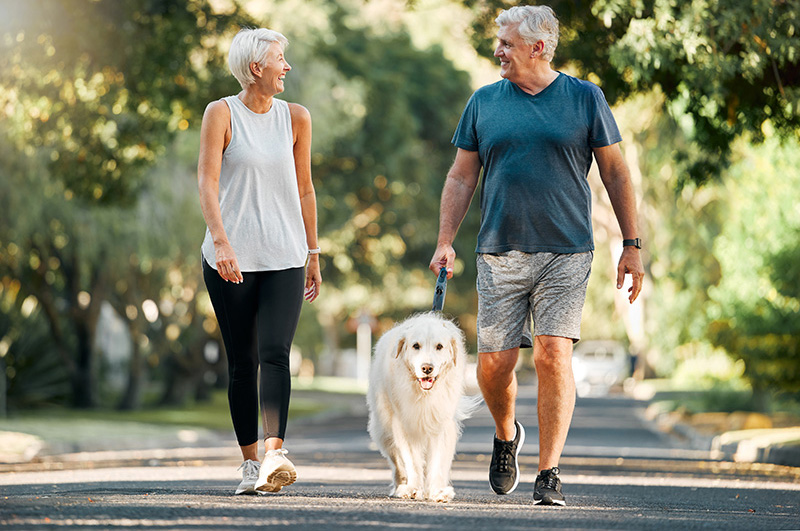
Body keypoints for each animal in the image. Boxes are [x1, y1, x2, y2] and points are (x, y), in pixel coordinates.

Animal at [368, 312, 478, 502]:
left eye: (439, 346)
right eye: (415, 346)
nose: (427, 368)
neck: (424, 395)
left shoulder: (442, 425)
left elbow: (439, 462)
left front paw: (438, 491)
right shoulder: (405, 426)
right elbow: (412, 461)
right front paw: (413, 489)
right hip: (384, 430)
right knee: (397, 462)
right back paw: (400, 486)